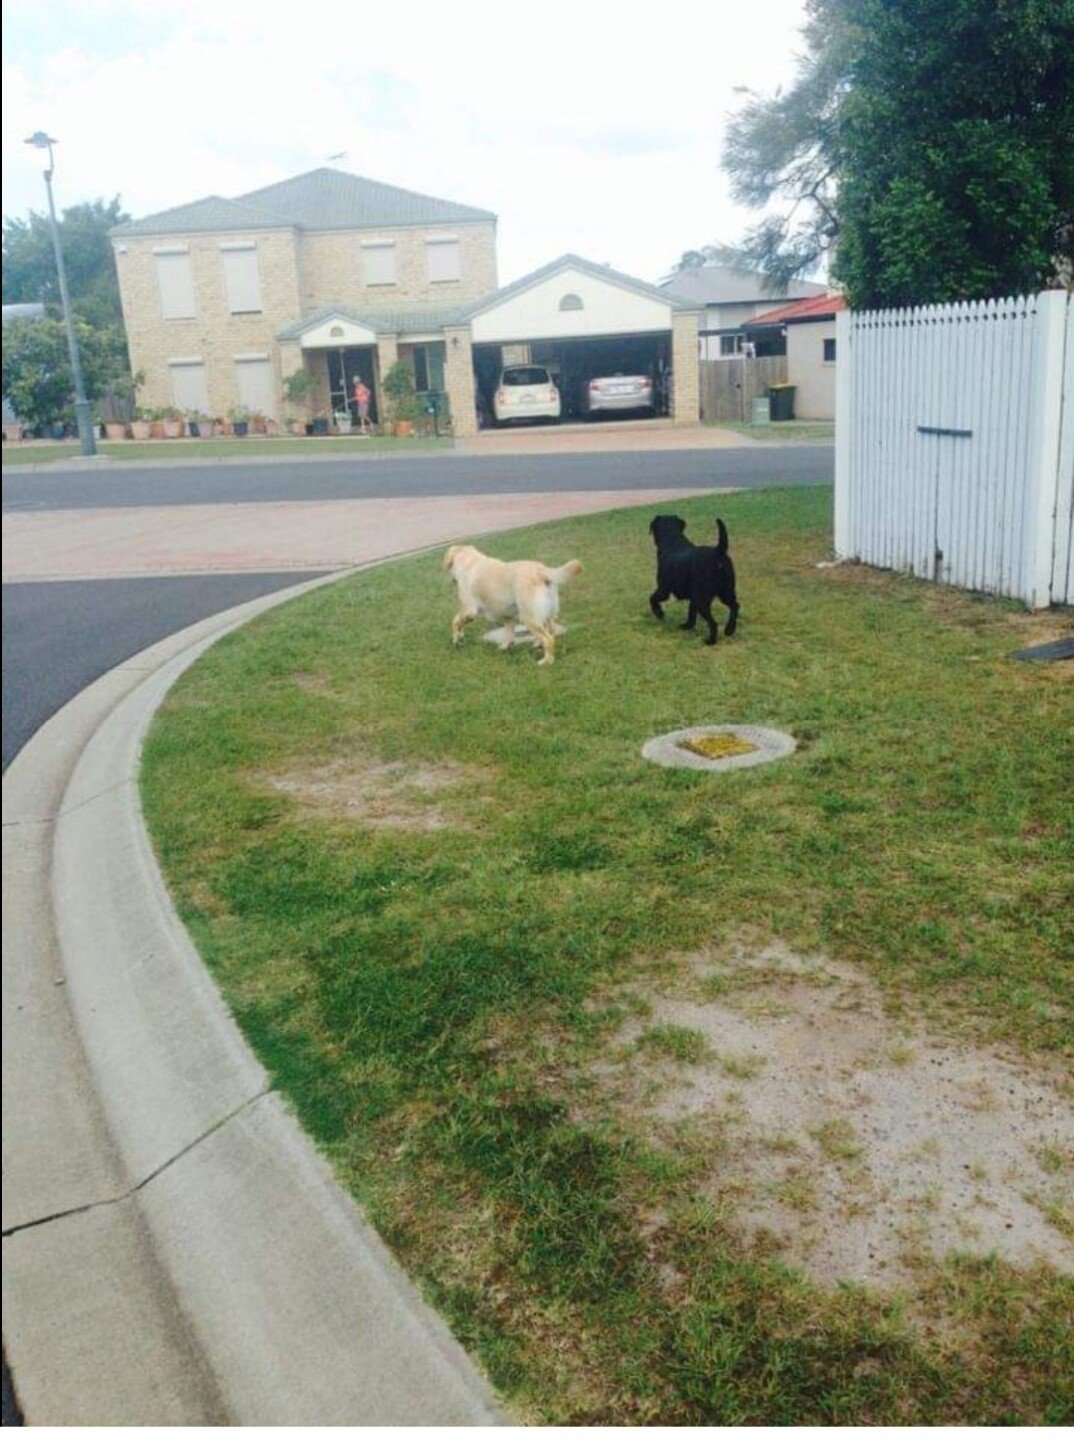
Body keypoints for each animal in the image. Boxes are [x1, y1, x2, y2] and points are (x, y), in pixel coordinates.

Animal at [440, 544, 581, 668]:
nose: (452, 580)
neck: (470, 562)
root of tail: (541, 570)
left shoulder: (469, 610)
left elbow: (455, 622)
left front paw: (456, 640)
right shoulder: (508, 617)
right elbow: (508, 634)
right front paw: (504, 647)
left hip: (529, 619)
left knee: (549, 639)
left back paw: (547, 661)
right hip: (548, 616)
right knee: (551, 632)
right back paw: (538, 645)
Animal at [644, 515, 737, 645]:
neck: (673, 540)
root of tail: (718, 552)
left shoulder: (664, 589)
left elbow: (652, 598)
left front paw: (660, 614)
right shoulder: (693, 595)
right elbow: (691, 612)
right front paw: (687, 626)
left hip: (703, 599)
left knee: (714, 622)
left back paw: (710, 640)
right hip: (726, 592)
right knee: (735, 606)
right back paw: (729, 630)